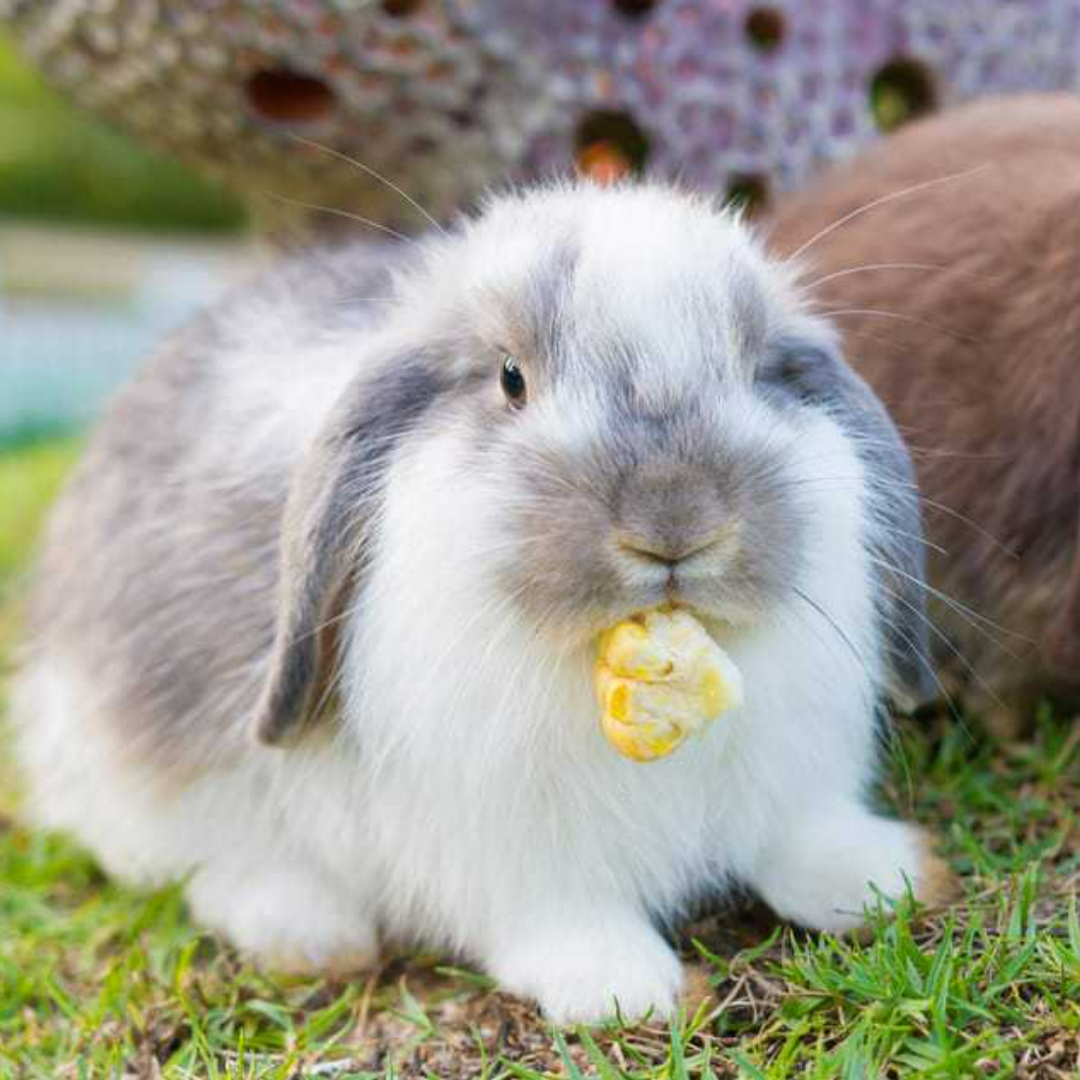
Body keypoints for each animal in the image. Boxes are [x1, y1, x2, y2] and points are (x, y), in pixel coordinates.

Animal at [12, 183, 950, 1019]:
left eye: (760, 373)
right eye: (510, 380)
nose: (675, 521)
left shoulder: (792, 782)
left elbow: (802, 839)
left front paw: (893, 878)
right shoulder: (507, 844)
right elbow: (557, 914)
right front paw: (627, 988)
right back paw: (311, 933)